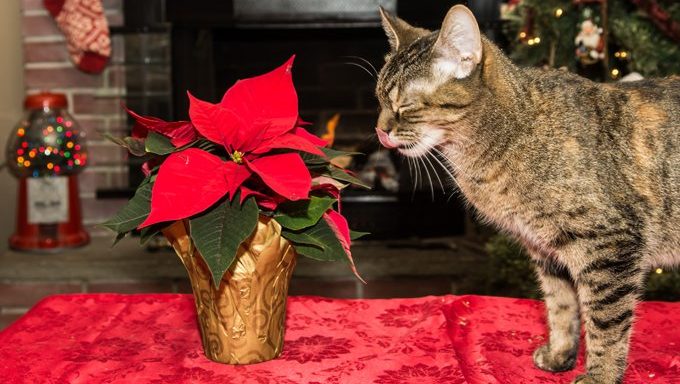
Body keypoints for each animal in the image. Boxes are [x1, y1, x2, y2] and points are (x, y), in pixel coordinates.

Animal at [378, 3, 680, 384]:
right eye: (378, 99)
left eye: (404, 105)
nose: (379, 130)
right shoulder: (547, 251)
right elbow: (561, 307)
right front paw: (560, 354)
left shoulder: (609, 246)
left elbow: (605, 322)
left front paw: (600, 375)